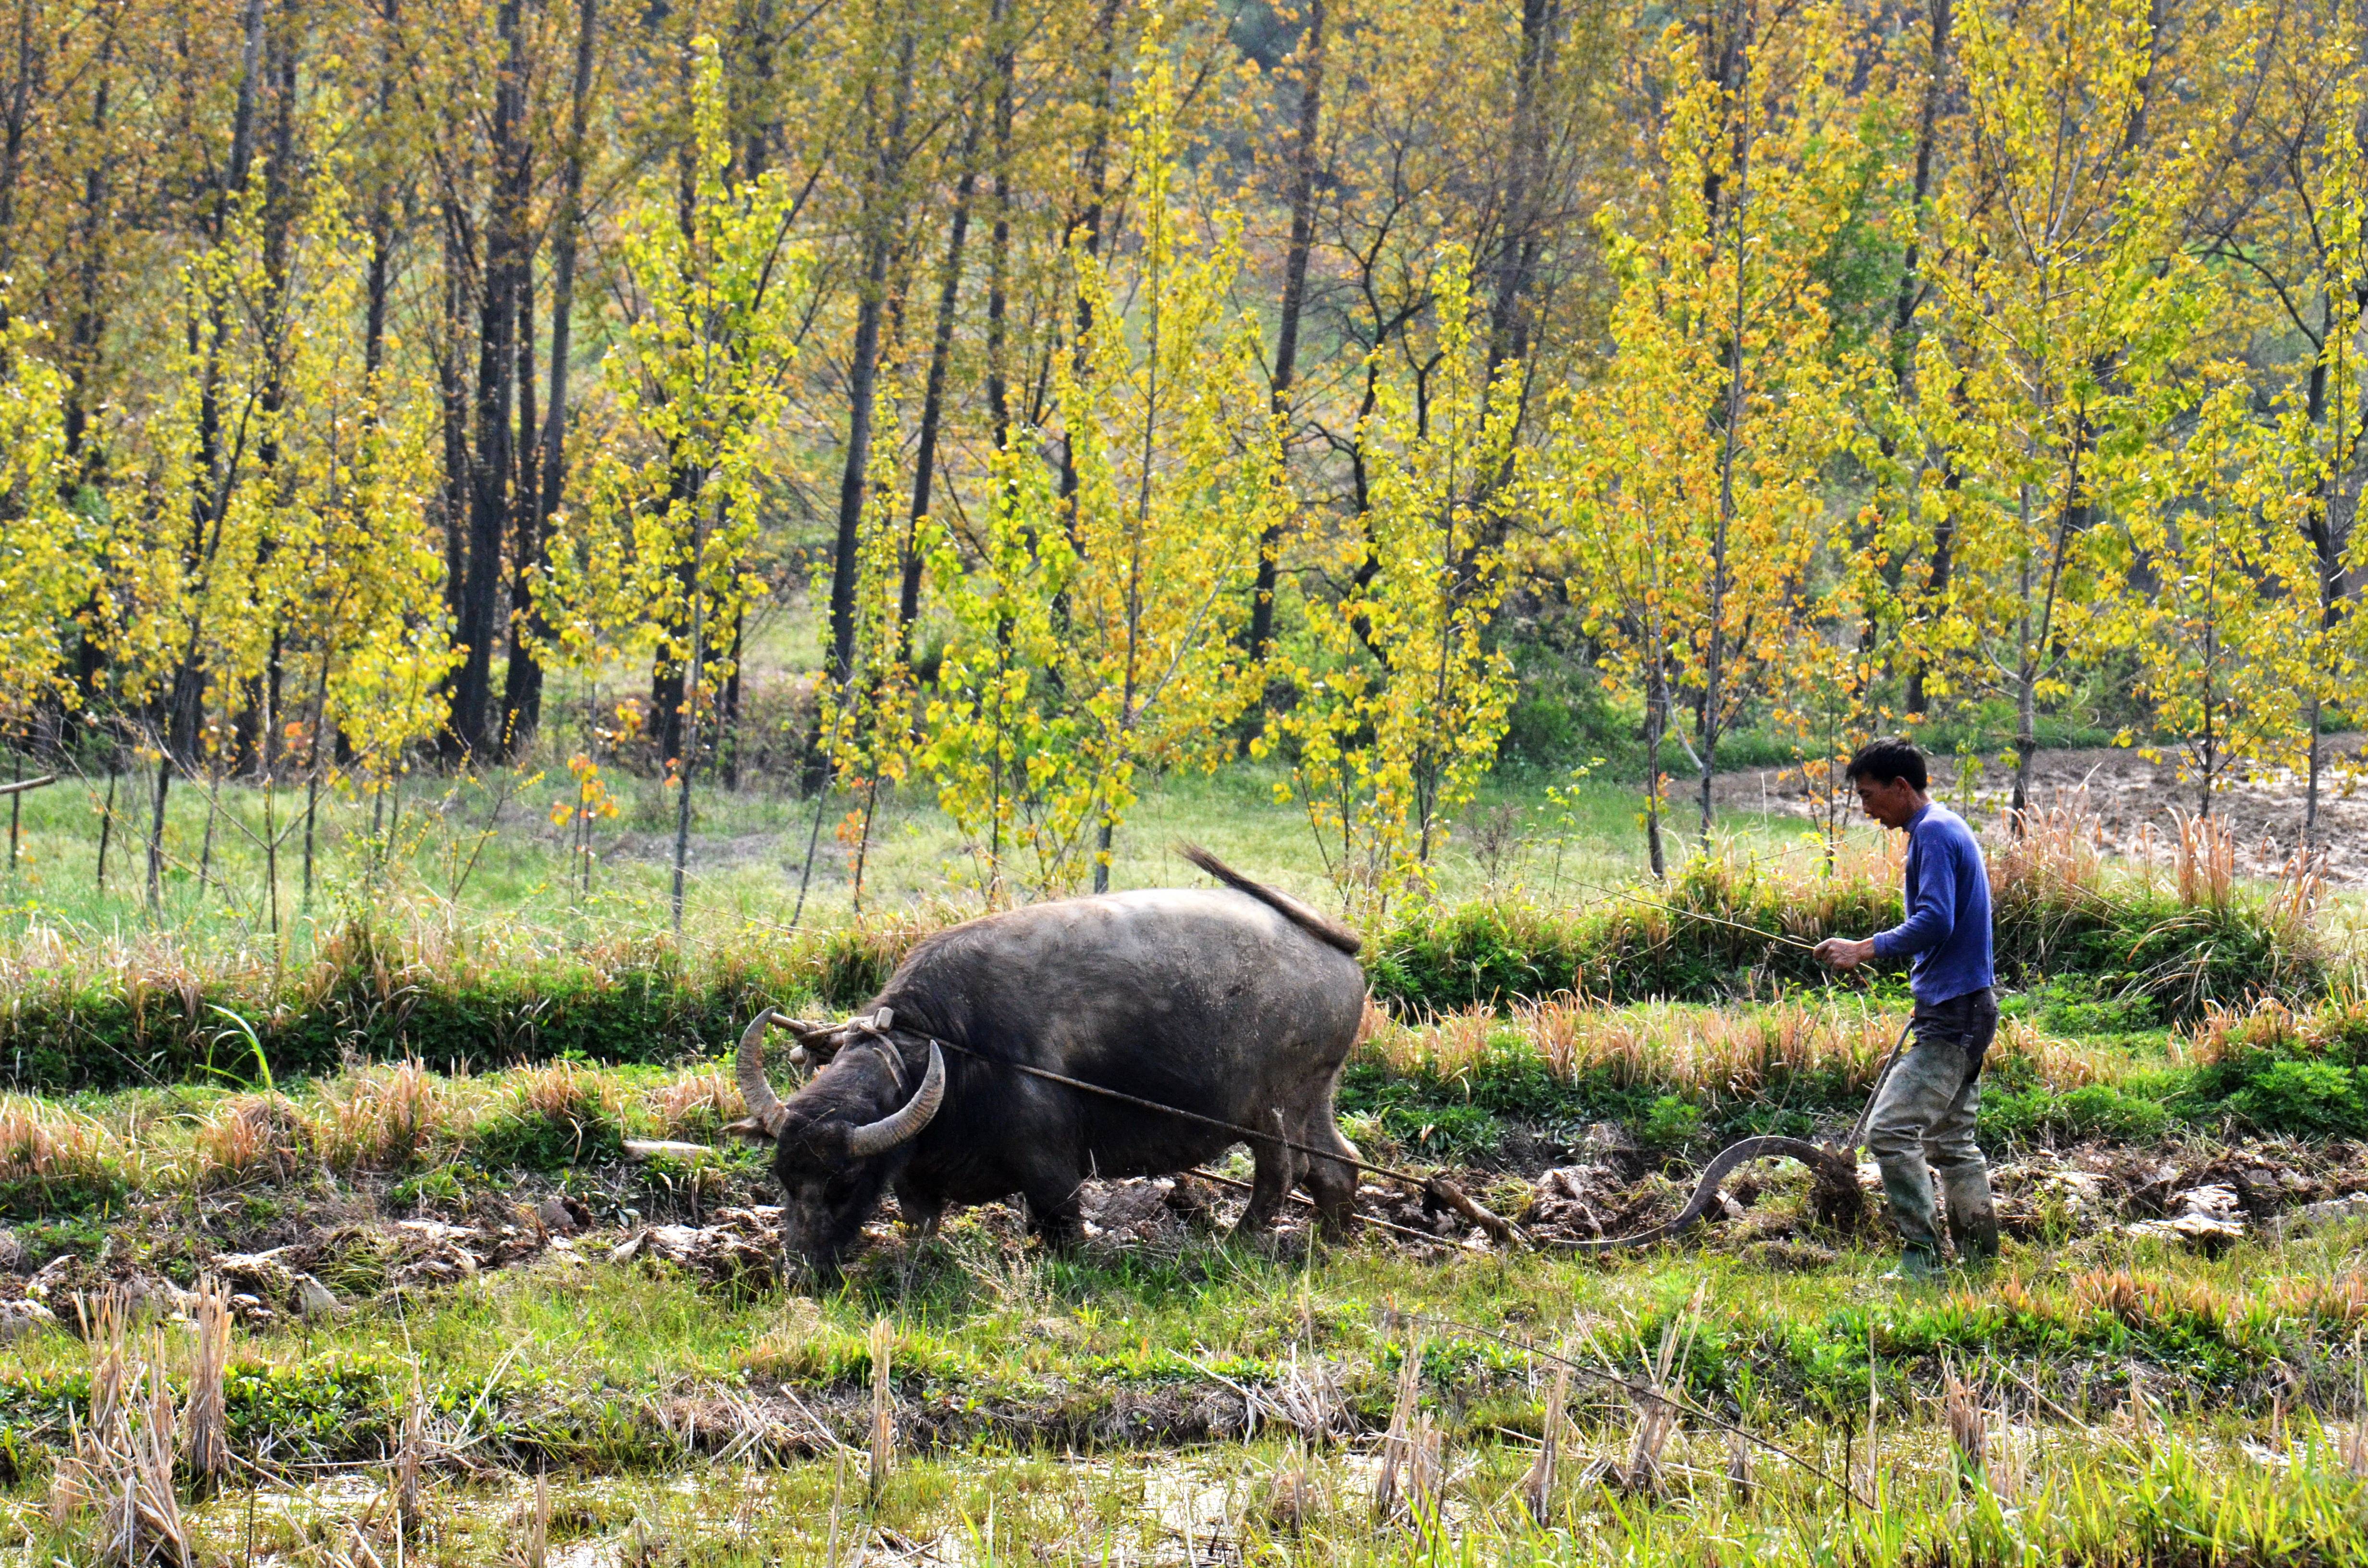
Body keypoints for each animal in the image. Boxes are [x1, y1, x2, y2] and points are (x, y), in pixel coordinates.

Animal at [729, 848, 1382, 1279]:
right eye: (783, 1178)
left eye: (841, 1183)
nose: (798, 1272)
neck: (952, 1052)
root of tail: (1336, 945)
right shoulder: (918, 1179)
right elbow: (923, 1219)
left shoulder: (1049, 1167)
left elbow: (1062, 1225)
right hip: (1315, 1097)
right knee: (1338, 1166)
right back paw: (1329, 1240)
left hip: (1270, 1110)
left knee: (1283, 1172)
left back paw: (1238, 1240)